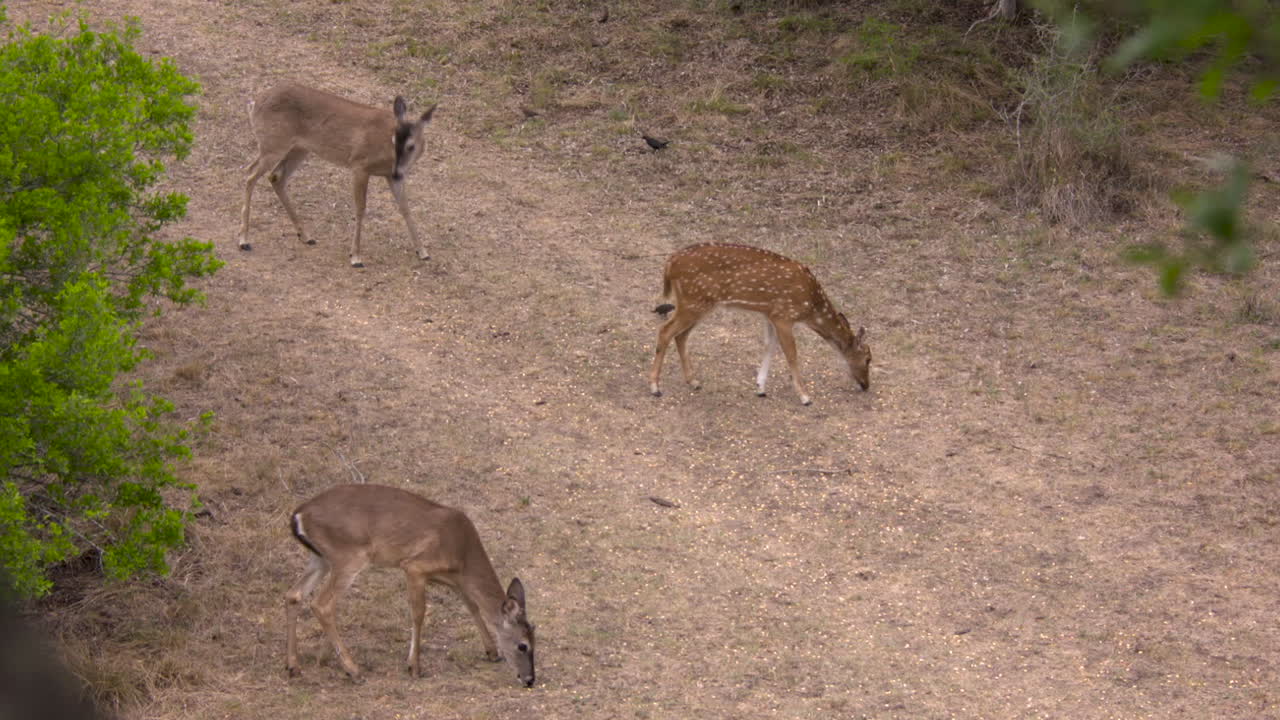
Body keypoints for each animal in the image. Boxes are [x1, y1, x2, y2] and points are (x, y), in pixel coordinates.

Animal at [238, 82, 437, 268]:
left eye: (411, 146)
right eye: (394, 141)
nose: (397, 171)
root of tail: (254, 103)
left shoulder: (391, 176)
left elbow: (405, 208)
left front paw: (422, 251)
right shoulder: (359, 165)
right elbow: (360, 208)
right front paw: (355, 257)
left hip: (299, 148)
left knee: (275, 177)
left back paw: (306, 236)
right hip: (273, 143)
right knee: (250, 174)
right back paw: (244, 240)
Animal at [284, 484, 535, 687]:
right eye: (523, 646)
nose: (530, 679)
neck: (462, 554)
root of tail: (299, 515)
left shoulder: (454, 580)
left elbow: (472, 606)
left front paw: (492, 652)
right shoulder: (415, 566)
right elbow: (419, 613)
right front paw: (414, 666)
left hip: (321, 558)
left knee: (294, 594)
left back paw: (294, 666)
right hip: (349, 555)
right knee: (322, 604)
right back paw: (353, 670)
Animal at [648, 242, 871, 405]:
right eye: (868, 358)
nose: (866, 385)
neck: (811, 306)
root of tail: (670, 263)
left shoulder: (769, 314)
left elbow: (769, 346)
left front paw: (761, 388)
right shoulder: (784, 315)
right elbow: (791, 354)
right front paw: (805, 396)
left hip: (698, 304)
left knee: (681, 335)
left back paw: (693, 381)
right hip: (694, 301)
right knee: (665, 331)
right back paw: (655, 387)